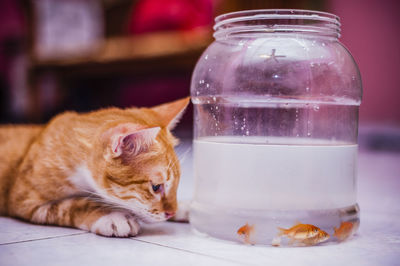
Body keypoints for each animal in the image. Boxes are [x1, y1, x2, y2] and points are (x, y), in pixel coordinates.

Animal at [0, 96, 190, 236]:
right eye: (156, 187)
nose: (172, 213)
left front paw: (187, 207)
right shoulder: (25, 200)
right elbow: (73, 205)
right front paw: (112, 216)